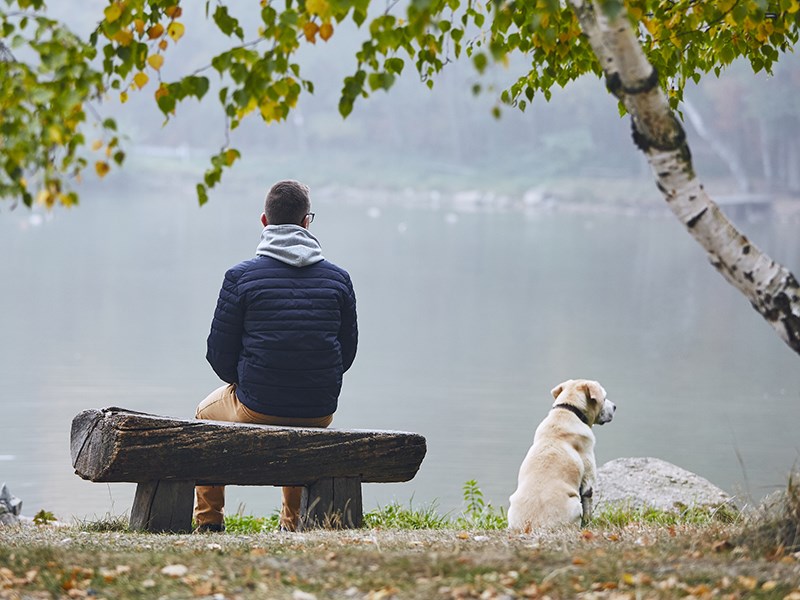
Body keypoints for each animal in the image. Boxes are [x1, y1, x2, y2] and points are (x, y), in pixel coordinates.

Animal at [510, 378, 616, 532]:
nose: (615, 407)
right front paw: (589, 526)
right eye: (604, 397)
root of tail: (531, 526)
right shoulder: (588, 478)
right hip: (575, 504)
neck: (569, 410)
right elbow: (588, 506)